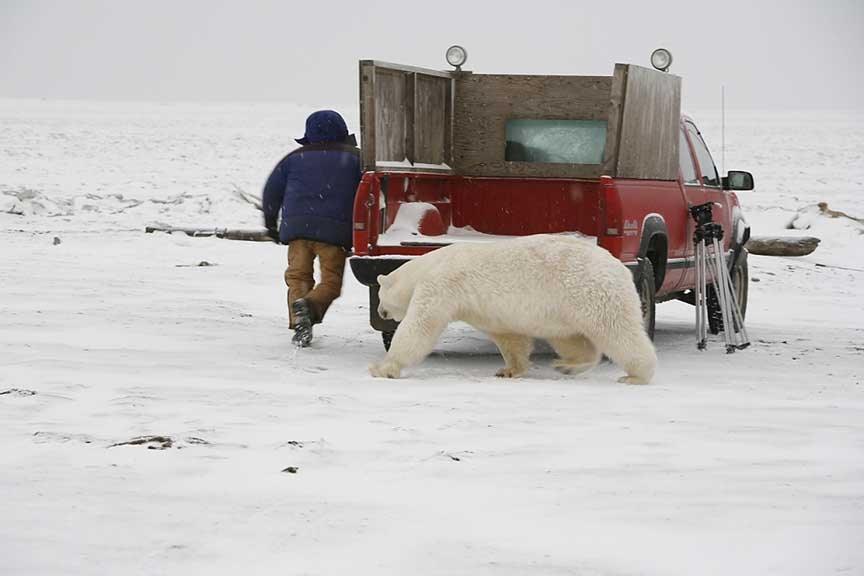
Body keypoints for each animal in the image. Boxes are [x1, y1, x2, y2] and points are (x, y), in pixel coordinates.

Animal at [368, 232, 660, 384]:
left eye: (381, 296)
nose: (381, 312)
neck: (428, 265)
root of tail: (619, 267)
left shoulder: (442, 285)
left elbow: (420, 326)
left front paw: (382, 368)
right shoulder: (487, 311)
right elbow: (510, 337)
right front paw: (508, 370)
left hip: (590, 293)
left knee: (617, 332)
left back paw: (636, 375)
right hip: (563, 308)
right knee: (571, 338)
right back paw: (567, 365)